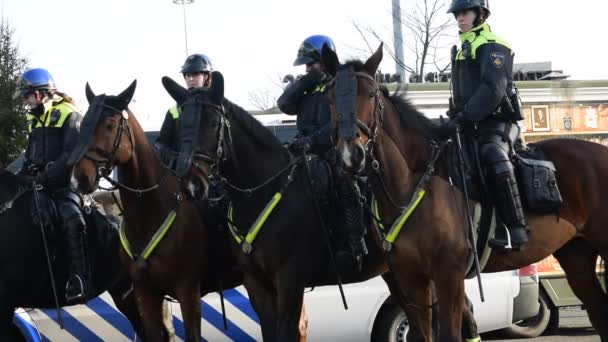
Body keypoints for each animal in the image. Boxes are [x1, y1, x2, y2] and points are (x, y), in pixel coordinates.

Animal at [69, 81, 242, 342]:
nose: (80, 177)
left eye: (110, 125)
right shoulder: (145, 294)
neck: (149, 215)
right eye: (84, 125)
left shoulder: (188, 293)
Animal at [324, 44, 608, 340]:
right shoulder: (410, 279)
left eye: (370, 94)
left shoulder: (449, 274)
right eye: (330, 98)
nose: (351, 155)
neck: (413, 183)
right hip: (576, 255)